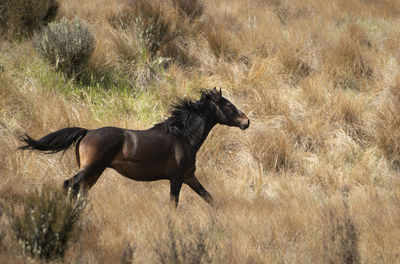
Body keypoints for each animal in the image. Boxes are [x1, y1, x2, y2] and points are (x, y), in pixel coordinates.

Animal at [20, 88, 250, 206]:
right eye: (228, 105)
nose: (246, 121)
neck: (183, 136)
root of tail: (87, 131)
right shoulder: (177, 178)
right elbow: (174, 204)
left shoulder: (189, 177)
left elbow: (209, 199)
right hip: (91, 169)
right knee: (68, 184)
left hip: (94, 173)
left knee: (78, 190)